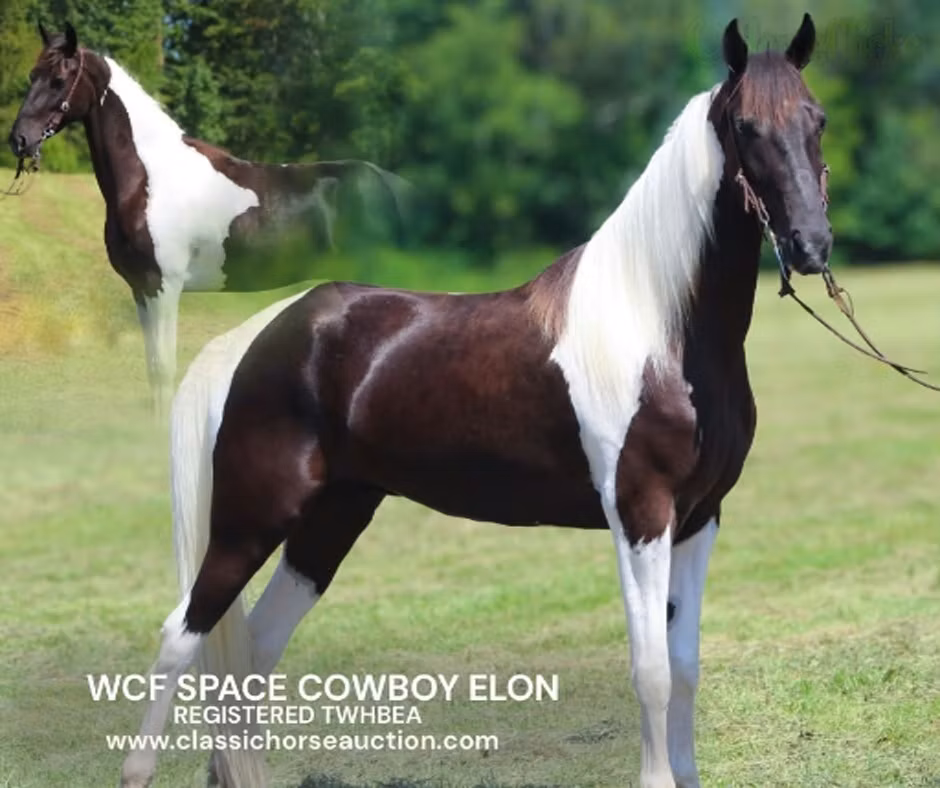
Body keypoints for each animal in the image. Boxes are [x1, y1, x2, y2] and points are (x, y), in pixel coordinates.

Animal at [8, 23, 409, 414]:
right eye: (32, 75)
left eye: (59, 80)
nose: (19, 139)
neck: (150, 178)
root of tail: (390, 184)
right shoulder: (141, 289)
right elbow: (153, 369)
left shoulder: (163, 287)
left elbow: (164, 369)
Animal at [121, 14, 831, 788]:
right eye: (745, 126)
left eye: (816, 119)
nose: (811, 245)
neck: (659, 325)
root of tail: (256, 336)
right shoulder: (641, 517)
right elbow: (650, 674)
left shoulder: (700, 519)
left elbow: (685, 666)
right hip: (249, 522)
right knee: (180, 635)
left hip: (330, 521)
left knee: (252, 652)